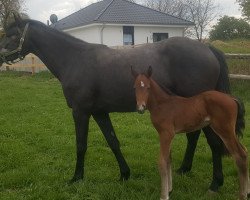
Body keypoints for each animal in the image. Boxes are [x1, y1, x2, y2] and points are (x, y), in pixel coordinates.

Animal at [132, 66, 249, 199]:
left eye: (147, 87)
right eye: (135, 87)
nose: (140, 108)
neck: (163, 104)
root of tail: (231, 98)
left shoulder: (166, 134)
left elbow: (162, 161)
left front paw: (164, 196)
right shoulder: (168, 135)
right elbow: (169, 159)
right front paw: (170, 190)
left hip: (225, 131)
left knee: (240, 155)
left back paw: (242, 195)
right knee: (245, 150)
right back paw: (247, 191)